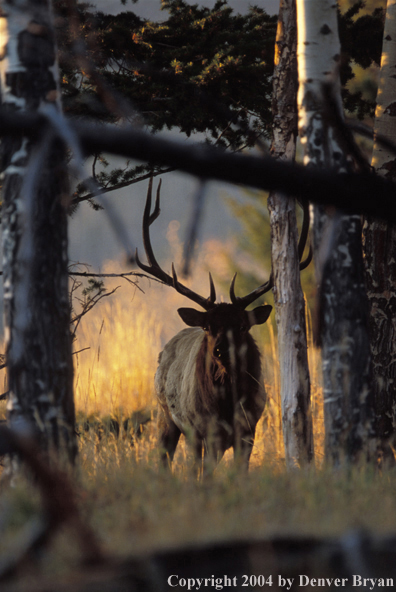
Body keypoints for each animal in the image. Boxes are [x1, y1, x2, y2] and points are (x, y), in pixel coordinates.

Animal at [138, 178, 310, 474]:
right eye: (208, 327)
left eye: (242, 326)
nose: (221, 350)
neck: (226, 406)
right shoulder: (201, 429)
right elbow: (202, 472)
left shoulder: (249, 428)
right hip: (165, 413)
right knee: (168, 459)